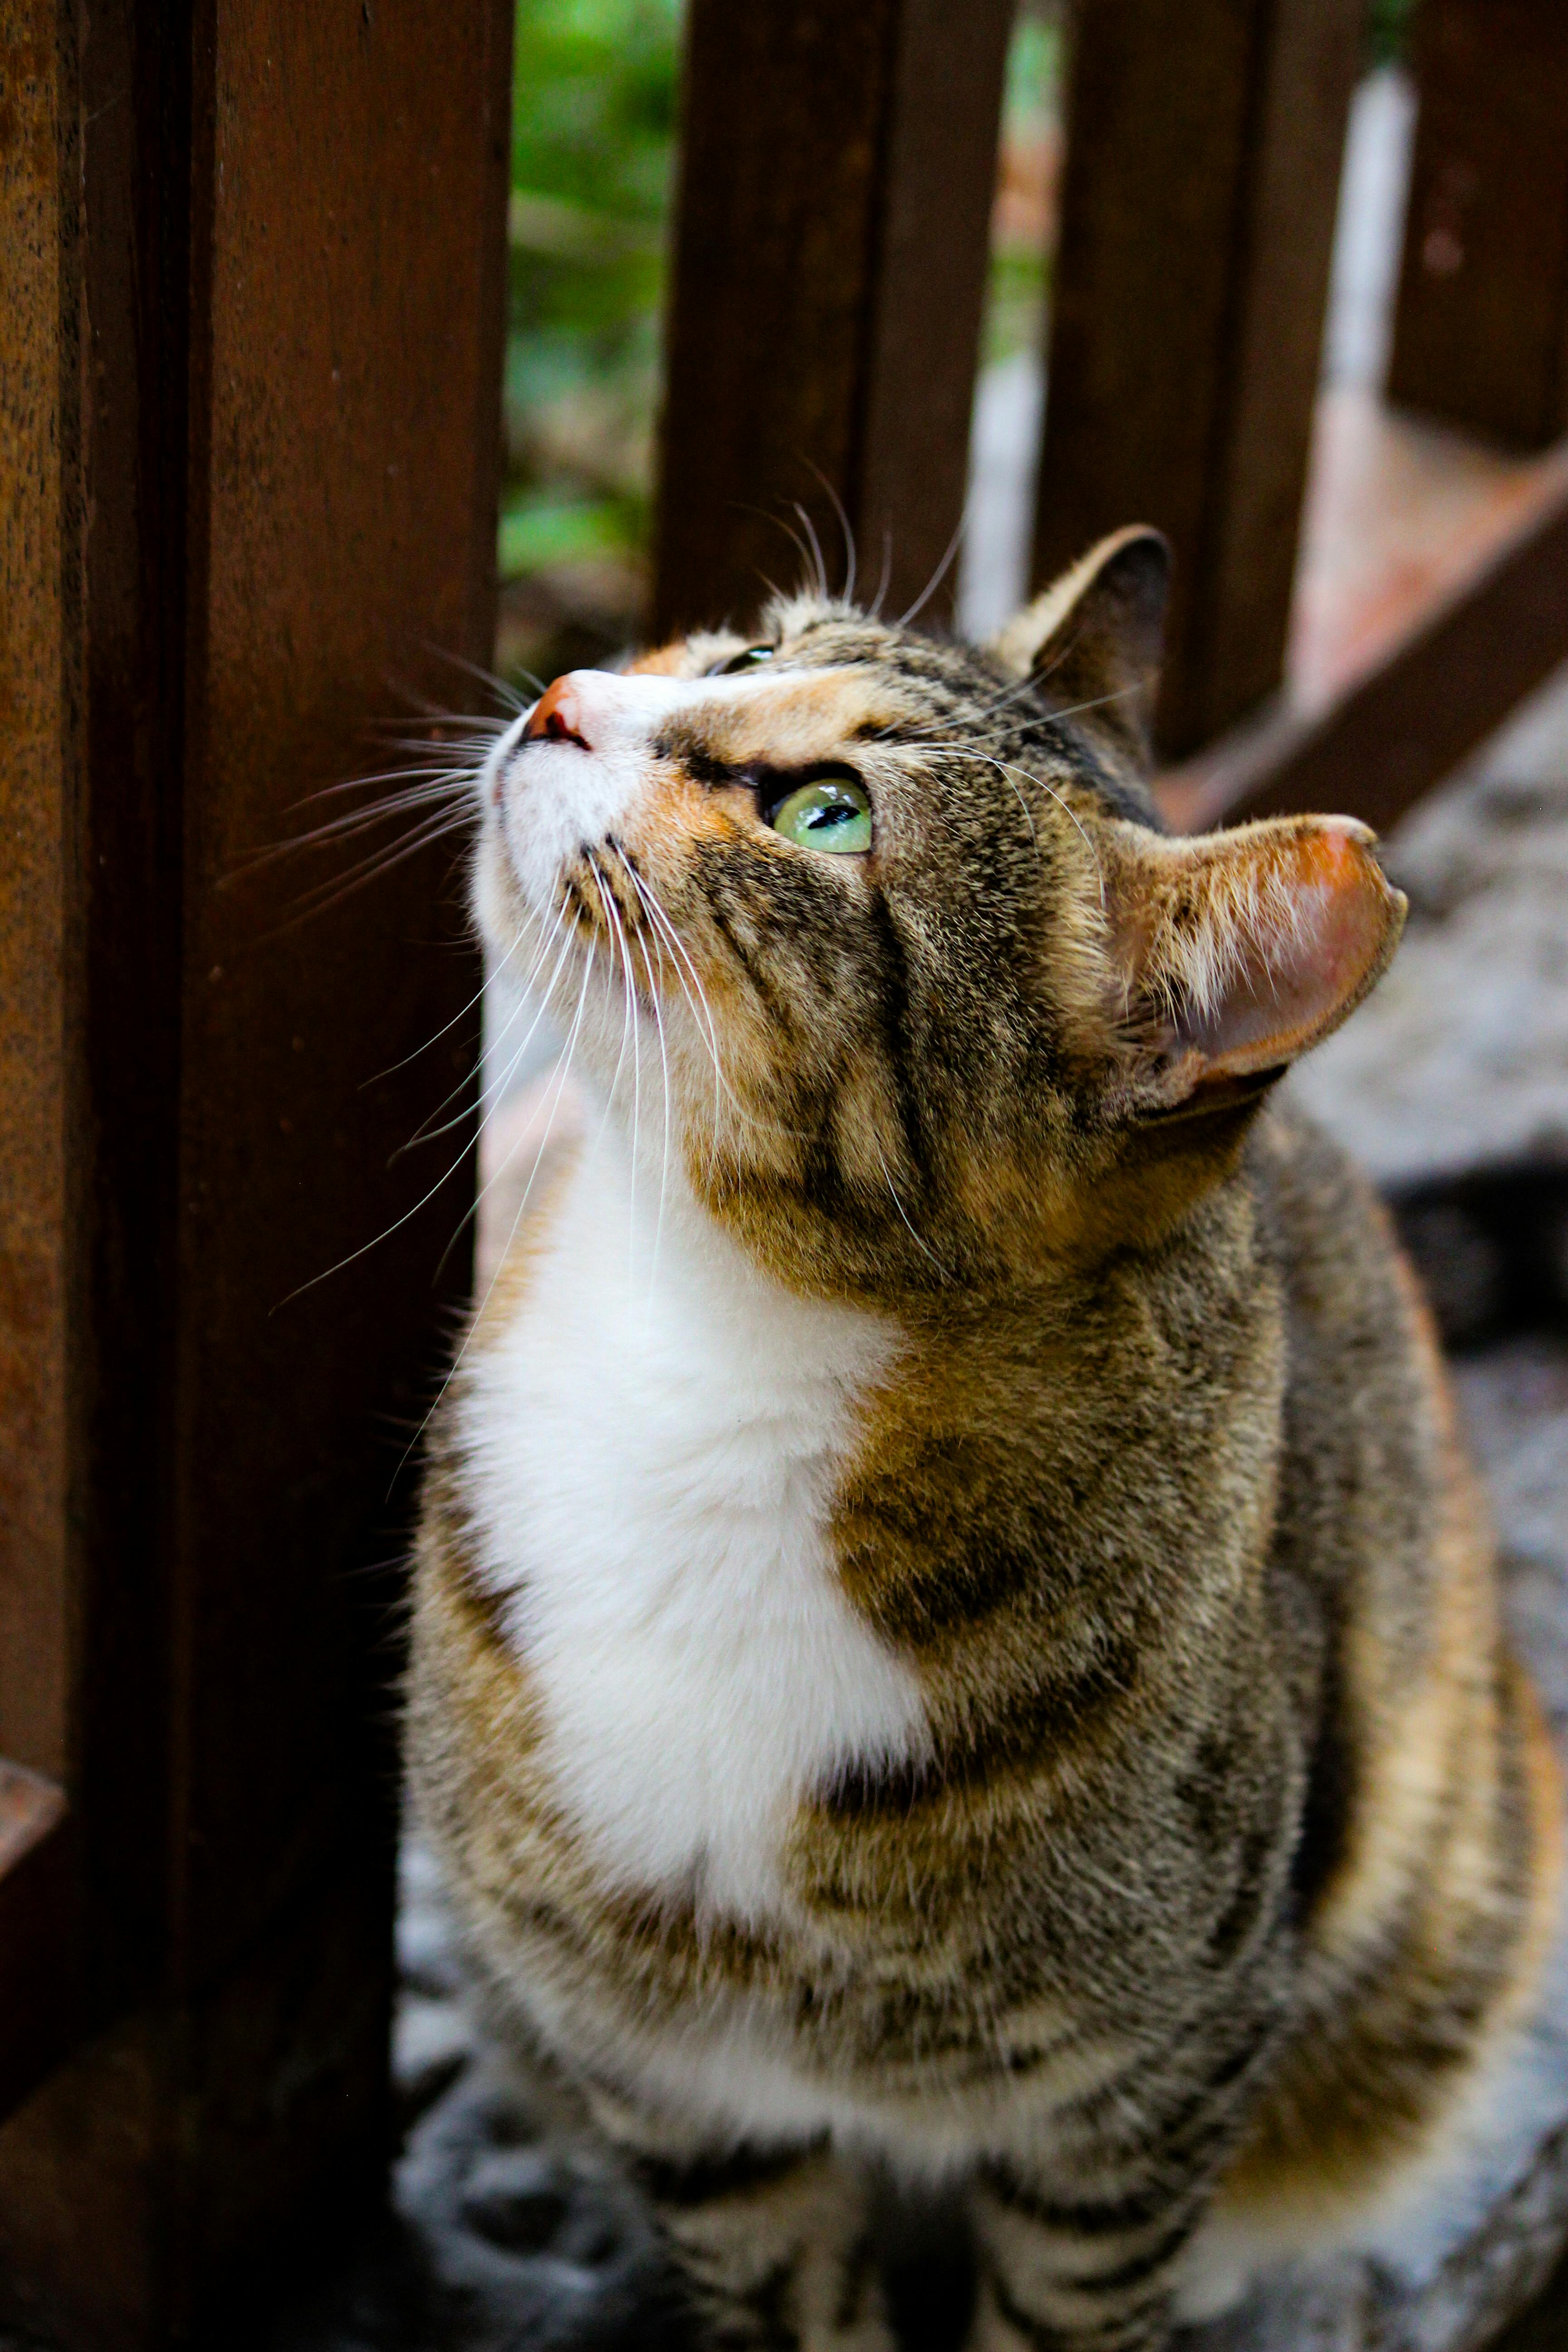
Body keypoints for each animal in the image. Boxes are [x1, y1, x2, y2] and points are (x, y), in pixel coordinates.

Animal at [411, 534, 1561, 2352]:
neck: (714, 1343)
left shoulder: (1140, 2094)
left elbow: (1073, 2306)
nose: (562, 698)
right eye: (743, 649)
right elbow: (791, 2302)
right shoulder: (677, 2084)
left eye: (826, 815)